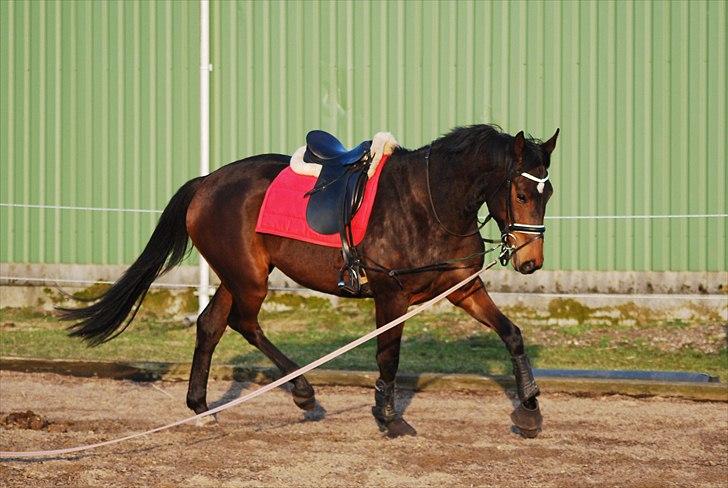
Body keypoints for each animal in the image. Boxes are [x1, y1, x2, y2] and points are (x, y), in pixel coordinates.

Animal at [64, 125, 564, 438]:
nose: (530, 261)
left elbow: (512, 334)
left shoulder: (463, 287)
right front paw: (388, 417)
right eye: (522, 192)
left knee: (210, 325)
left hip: (237, 274)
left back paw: (201, 409)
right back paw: (303, 393)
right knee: (244, 323)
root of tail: (206, 182)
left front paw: (529, 409)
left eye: (549, 192)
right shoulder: (391, 293)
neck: (430, 203)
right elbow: (388, 356)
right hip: (249, 279)